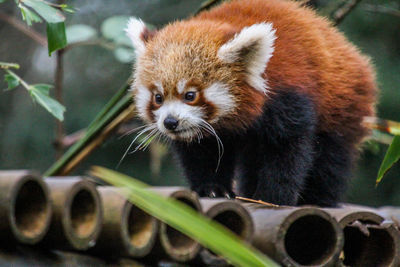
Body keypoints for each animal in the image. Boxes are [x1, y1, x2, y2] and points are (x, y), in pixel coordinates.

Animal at [126, 0, 376, 207]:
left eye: (190, 95)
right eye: (158, 98)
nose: (170, 122)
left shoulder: (288, 95)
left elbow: (287, 149)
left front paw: (273, 197)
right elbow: (202, 152)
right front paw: (212, 189)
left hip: (344, 106)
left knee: (332, 157)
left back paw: (319, 198)